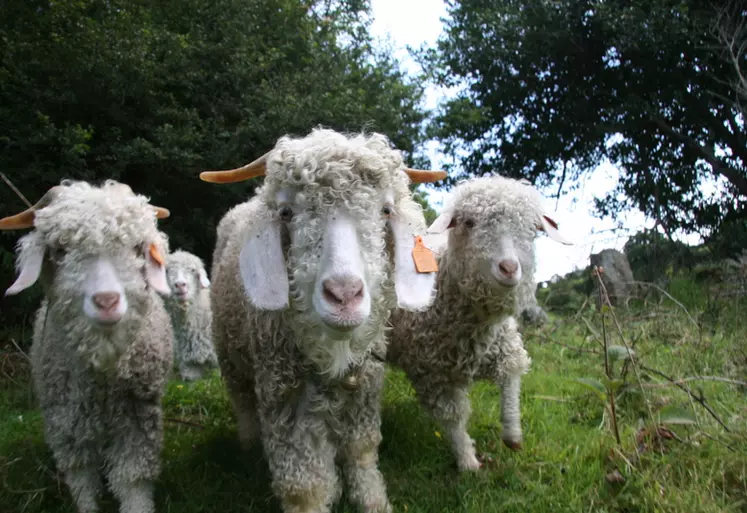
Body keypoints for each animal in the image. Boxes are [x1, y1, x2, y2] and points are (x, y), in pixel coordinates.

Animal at [0, 179, 172, 512]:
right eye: (60, 250)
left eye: (136, 248)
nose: (107, 301)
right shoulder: (67, 421)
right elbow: (81, 479)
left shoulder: (135, 416)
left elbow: (132, 478)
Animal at [202, 127, 444, 512]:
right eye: (287, 212)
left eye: (385, 210)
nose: (344, 296)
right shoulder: (284, 393)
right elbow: (306, 486)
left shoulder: (365, 386)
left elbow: (362, 451)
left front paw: (373, 500)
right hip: (230, 353)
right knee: (242, 400)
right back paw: (249, 443)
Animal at [388, 177, 568, 472]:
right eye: (469, 222)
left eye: (533, 229)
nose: (509, 268)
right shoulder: (431, 373)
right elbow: (453, 416)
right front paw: (467, 460)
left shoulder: (504, 346)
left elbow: (511, 377)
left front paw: (513, 434)